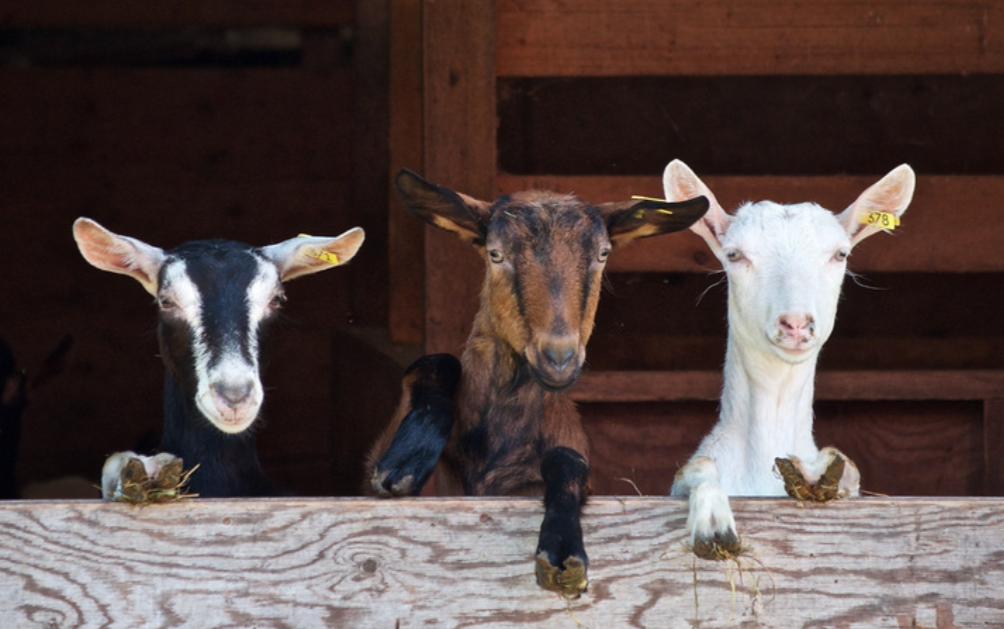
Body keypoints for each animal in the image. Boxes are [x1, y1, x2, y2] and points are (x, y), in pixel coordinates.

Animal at [366, 169, 709, 595]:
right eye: (495, 254)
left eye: (603, 254)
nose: (558, 358)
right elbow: (434, 362)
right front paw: (405, 461)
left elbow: (568, 460)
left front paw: (563, 551)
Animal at [662, 159, 916, 559]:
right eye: (734, 254)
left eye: (840, 254)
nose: (796, 323)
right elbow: (696, 466)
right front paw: (714, 524)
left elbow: (847, 467)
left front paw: (817, 472)